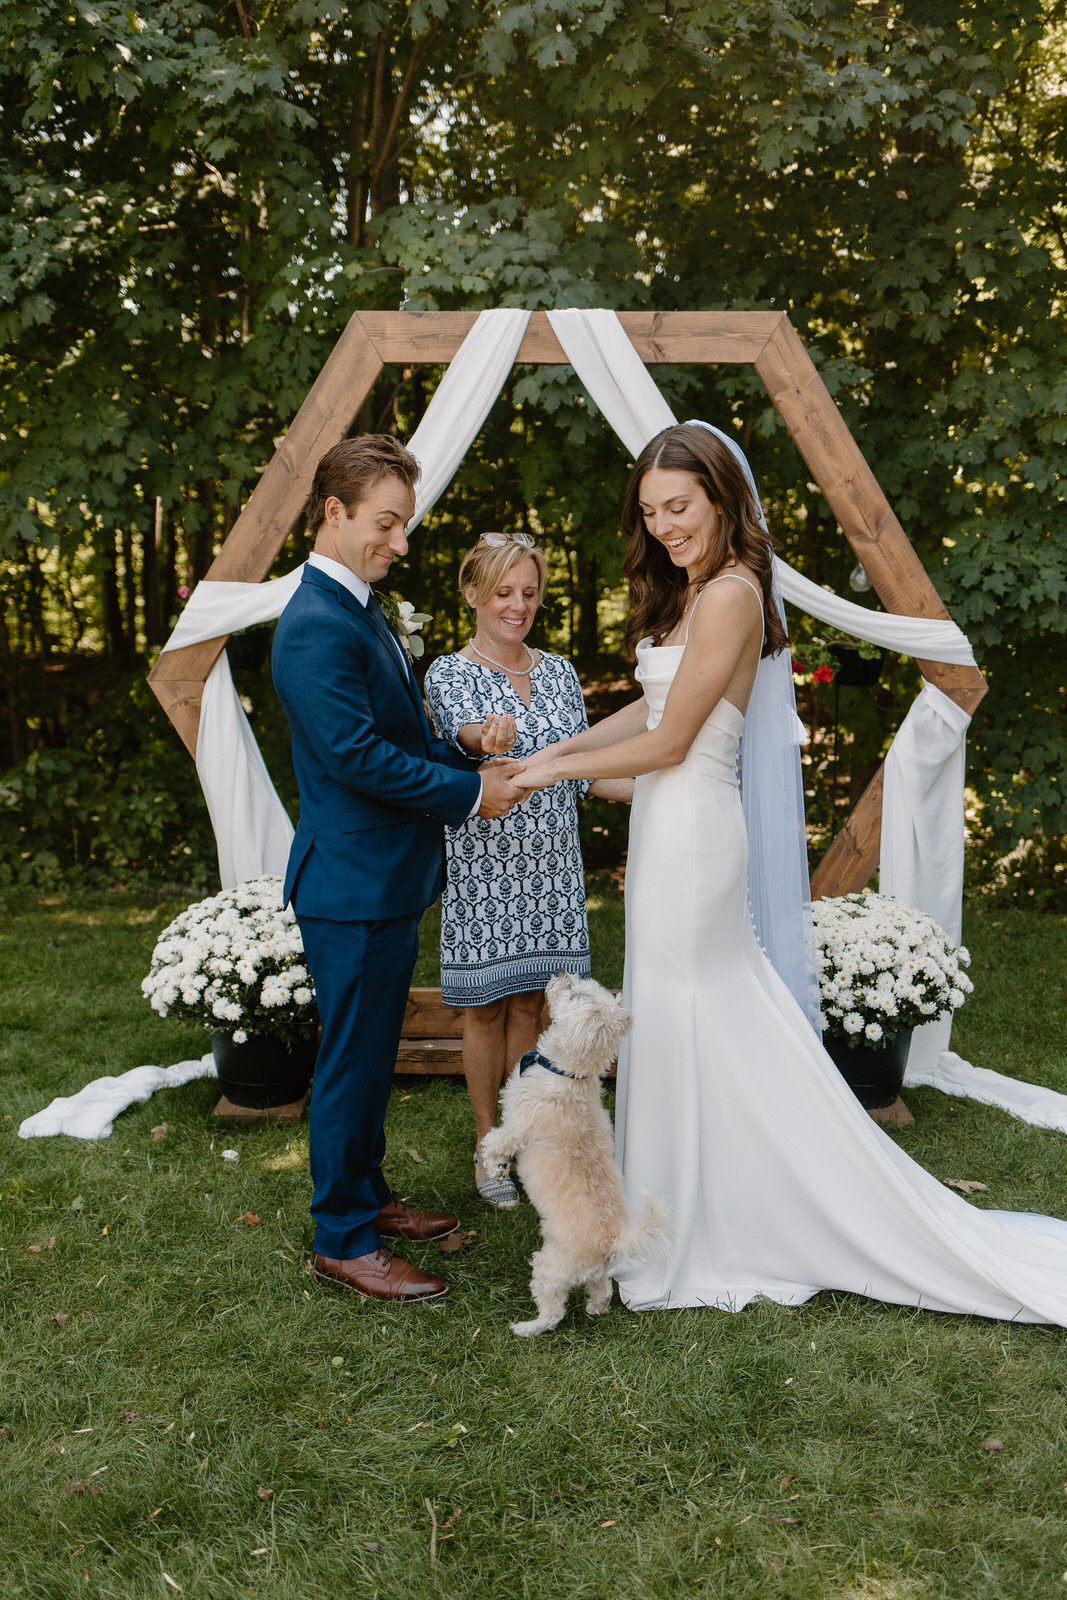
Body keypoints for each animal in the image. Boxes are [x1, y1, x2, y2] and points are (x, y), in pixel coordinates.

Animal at [483, 972, 671, 1337]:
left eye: (575, 995)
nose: (562, 973)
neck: (568, 1072)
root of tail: (614, 1239)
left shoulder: (517, 1125)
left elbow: (496, 1141)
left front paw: (493, 1167)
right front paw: (499, 1172)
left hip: (550, 1268)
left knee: (553, 1311)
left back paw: (526, 1328)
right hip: (595, 1272)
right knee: (602, 1289)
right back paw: (595, 1310)